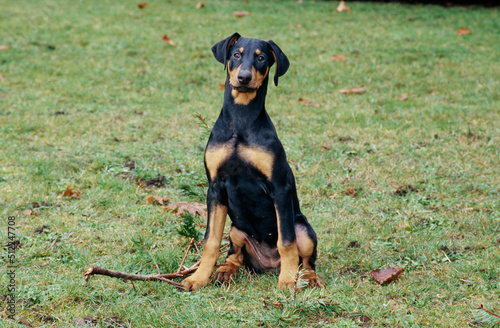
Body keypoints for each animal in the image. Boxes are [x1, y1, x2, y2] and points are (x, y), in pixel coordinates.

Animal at [182, 32, 326, 290]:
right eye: (236, 54)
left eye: (261, 58)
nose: (244, 78)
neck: (241, 119)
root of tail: (268, 265)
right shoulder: (215, 187)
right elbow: (211, 240)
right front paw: (198, 278)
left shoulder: (279, 188)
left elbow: (286, 242)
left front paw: (287, 281)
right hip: (236, 230)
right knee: (234, 254)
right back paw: (225, 271)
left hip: (304, 228)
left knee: (307, 261)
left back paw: (307, 278)